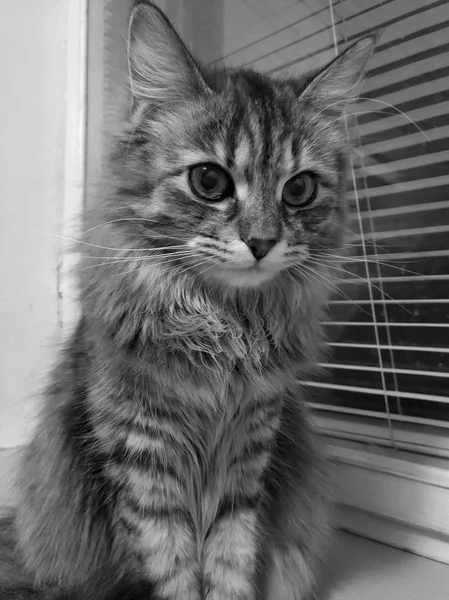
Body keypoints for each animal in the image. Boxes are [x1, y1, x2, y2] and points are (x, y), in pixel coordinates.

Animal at [0, 1, 378, 600]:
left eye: (299, 190)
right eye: (209, 181)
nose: (262, 242)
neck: (224, 327)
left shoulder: (249, 453)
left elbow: (230, 559)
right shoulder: (144, 454)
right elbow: (170, 566)